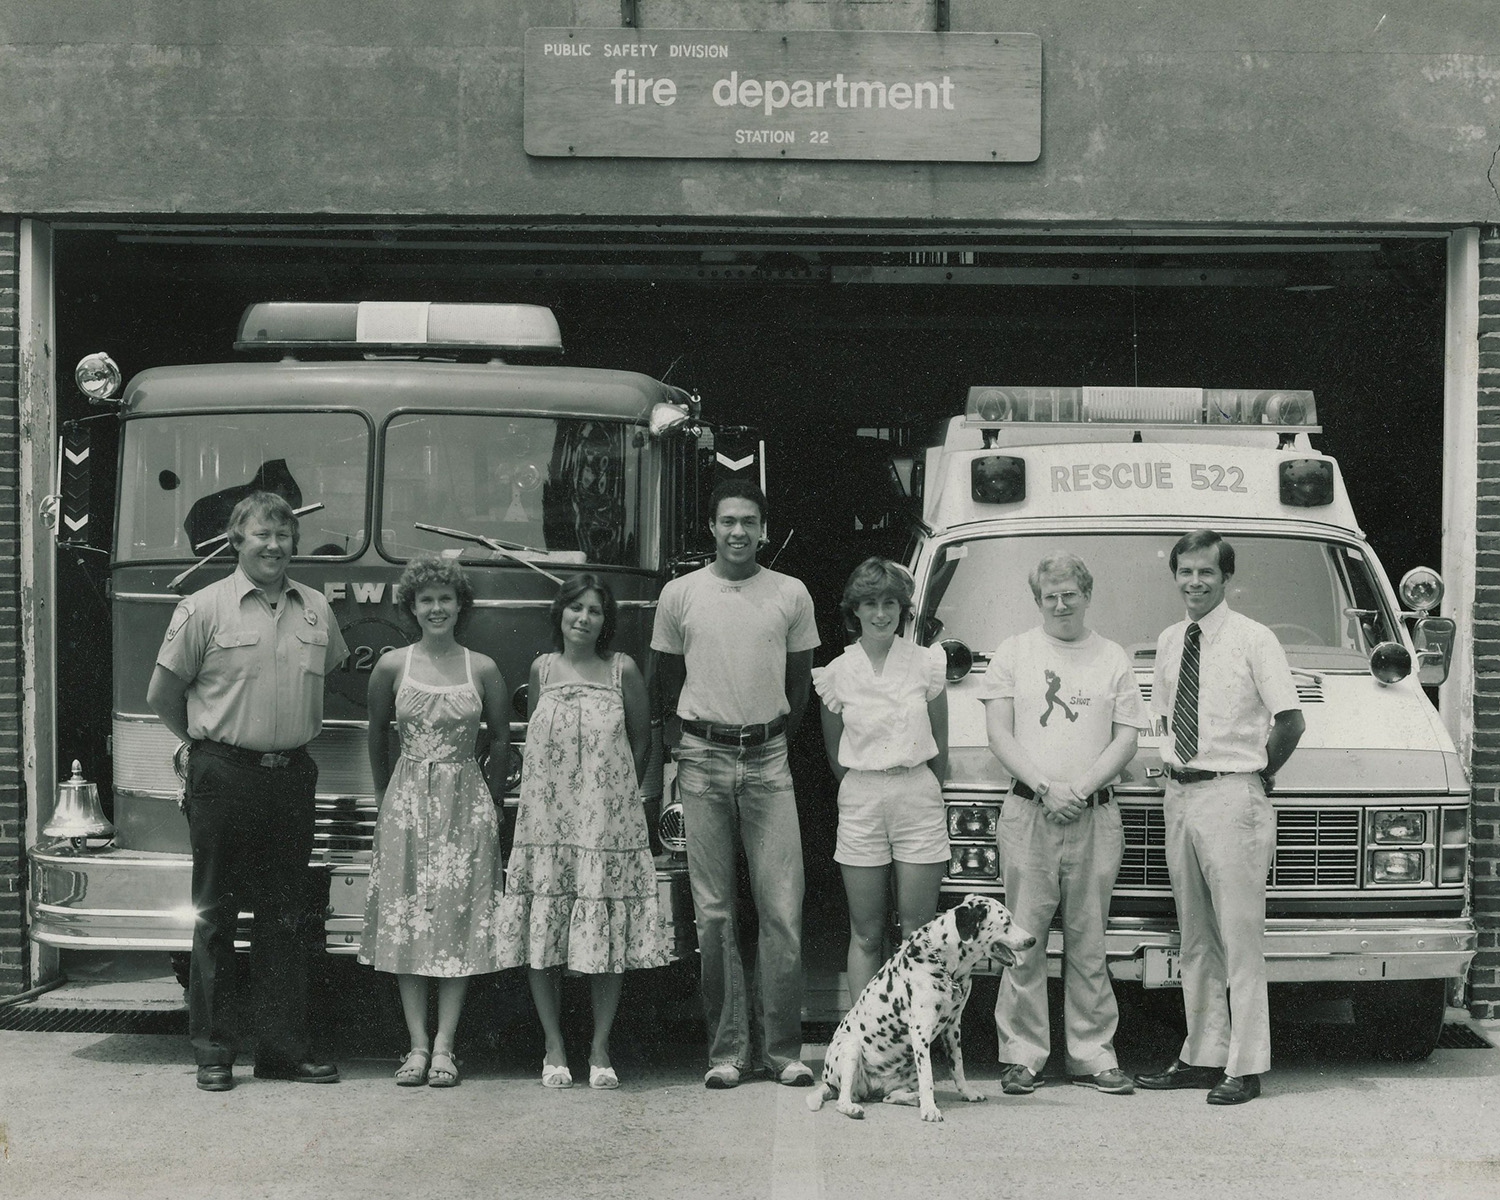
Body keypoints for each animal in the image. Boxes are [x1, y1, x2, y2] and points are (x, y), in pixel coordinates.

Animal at [810, 888, 1032, 1128]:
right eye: (1006, 922)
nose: (1032, 940)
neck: (945, 965)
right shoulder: (921, 1031)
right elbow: (929, 1079)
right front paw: (930, 1110)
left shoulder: (953, 1028)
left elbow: (958, 1067)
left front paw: (967, 1093)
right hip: (851, 1047)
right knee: (843, 1099)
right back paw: (854, 1107)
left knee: (890, 1097)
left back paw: (913, 1097)